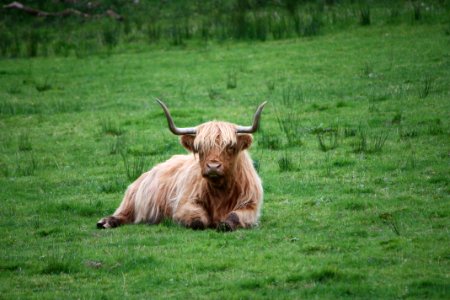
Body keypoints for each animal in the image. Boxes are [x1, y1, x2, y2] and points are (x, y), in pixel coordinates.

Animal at [96, 99, 266, 231]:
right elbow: (198, 220)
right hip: (132, 200)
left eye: (230, 146)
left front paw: (224, 224)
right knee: (122, 214)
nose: (213, 167)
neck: (220, 191)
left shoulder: (250, 205)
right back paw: (105, 222)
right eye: (200, 148)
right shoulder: (183, 203)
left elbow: (234, 216)